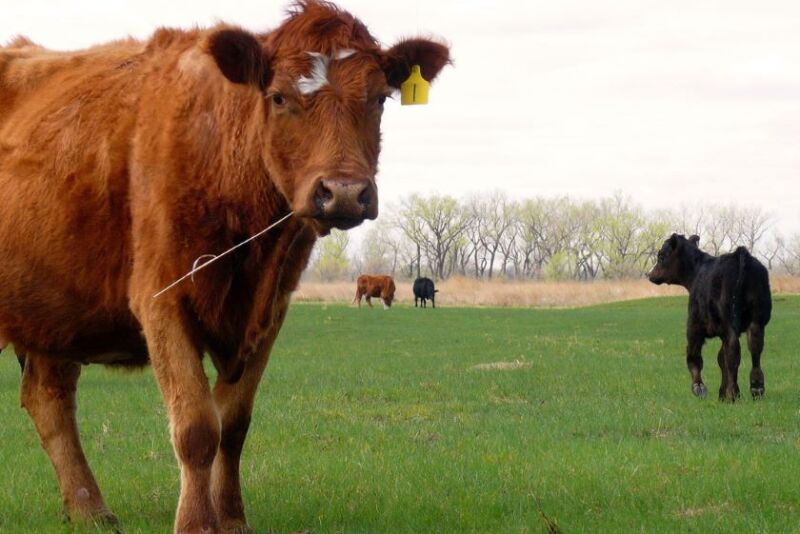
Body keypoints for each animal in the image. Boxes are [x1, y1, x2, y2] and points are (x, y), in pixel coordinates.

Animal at [0, 2, 449, 532]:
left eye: (379, 98)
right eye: (278, 97)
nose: (343, 192)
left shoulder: (269, 312)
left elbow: (233, 423)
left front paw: (232, 518)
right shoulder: (163, 301)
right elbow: (196, 426)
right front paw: (196, 523)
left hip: (54, 314)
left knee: (49, 398)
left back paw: (89, 509)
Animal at [648, 234, 771, 402]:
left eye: (661, 256)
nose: (649, 274)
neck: (696, 273)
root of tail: (740, 254)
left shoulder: (694, 325)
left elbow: (694, 356)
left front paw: (699, 388)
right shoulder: (723, 332)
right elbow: (721, 359)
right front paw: (722, 395)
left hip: (730, 323)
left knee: (733, 354)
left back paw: (734, 393)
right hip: (757, 320)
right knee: (755, 350)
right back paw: (756, 388)